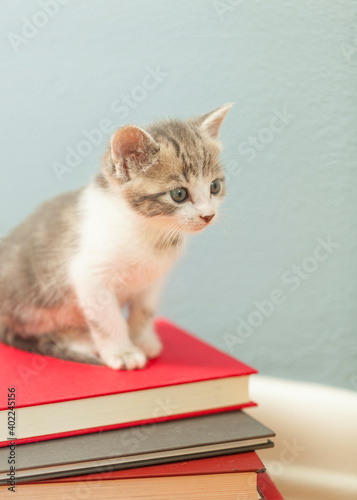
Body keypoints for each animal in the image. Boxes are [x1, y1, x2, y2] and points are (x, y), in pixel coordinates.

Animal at [0, 104, 231, 372]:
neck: (148, 232)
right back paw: (81, 341)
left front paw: (142, 339)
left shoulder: (153, 279)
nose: (208, 215)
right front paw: (123, 352)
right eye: (179, 194)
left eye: (214, 187)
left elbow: (144, 310)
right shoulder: (90, 276)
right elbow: (108, 320)